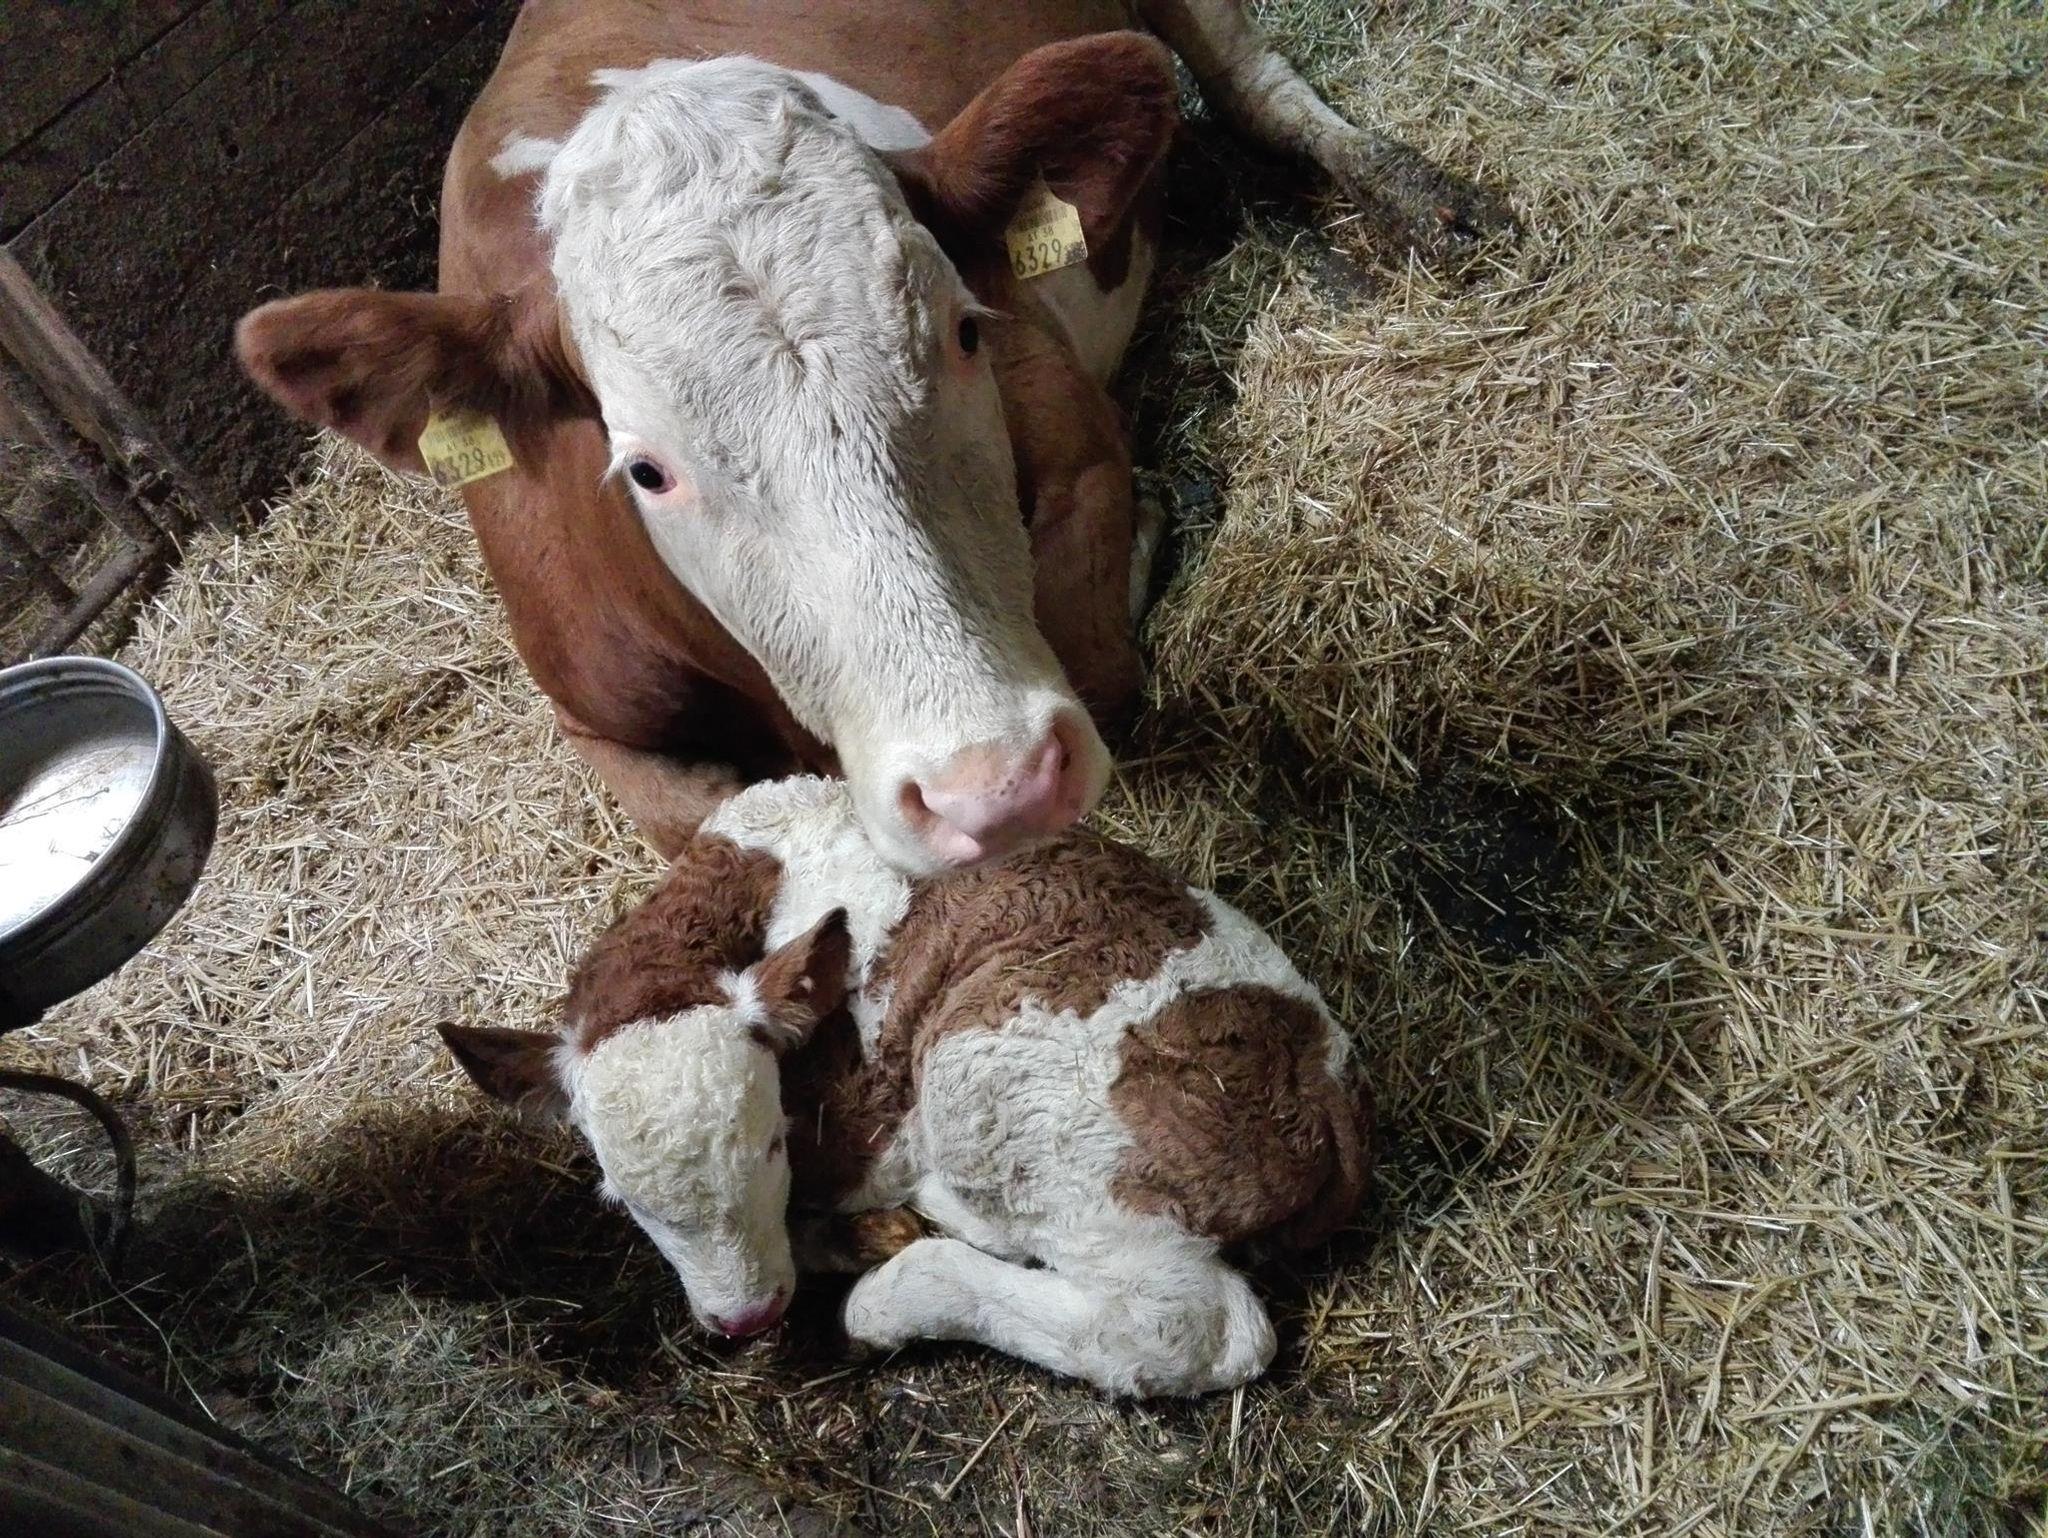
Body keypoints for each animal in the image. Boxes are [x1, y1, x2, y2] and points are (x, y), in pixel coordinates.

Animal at [237, 2, 1507, 873]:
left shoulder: (1077, 439)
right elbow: (717, 820)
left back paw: (1423, 198)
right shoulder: (585, 707)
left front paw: (1156, 525)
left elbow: (1099, 656)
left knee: (1255, 81)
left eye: (963, 332)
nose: (991, 787)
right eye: (645, 469)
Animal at [441, 775, 1372, 1395]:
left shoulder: (869, 1125)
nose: (747, 1319)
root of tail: (1319, 1074)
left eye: (773, 1143)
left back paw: (890, 1292)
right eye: (622, 1199)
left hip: (1007, 1100)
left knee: (1186, 1328)